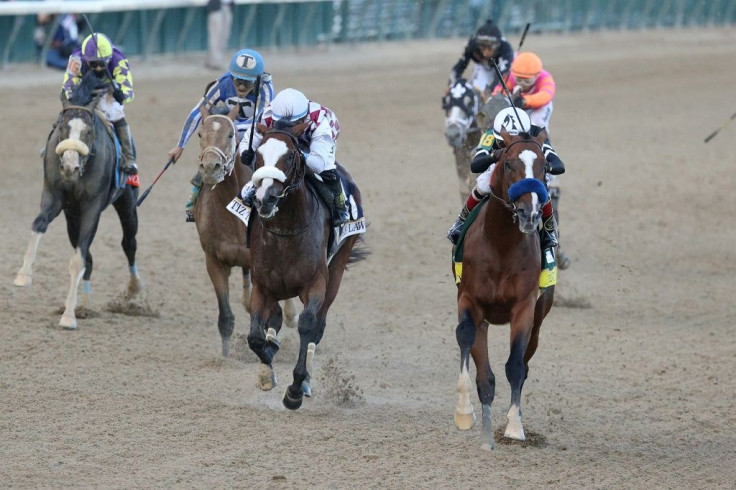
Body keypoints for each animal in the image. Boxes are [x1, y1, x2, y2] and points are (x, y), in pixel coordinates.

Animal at [197, 103, 300, 358]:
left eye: (231, 134)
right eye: (200, 134)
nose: (211, 167)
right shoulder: (214, 261)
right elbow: (226, 318)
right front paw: (225, 358)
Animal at [246, 121, 366, 410]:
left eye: (290, 156)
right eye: (257, 155)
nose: (265, 199)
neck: (285, 231)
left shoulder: (316, 284)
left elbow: (308, 325)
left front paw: (295, 389)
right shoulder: (262, 285)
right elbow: (255, 335)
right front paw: (267, 369)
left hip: (338, 267)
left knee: (319, 326)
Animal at [452, 128, 556, 450]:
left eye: (545, 167)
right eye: (509, 163)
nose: (529, 214)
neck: (501, 245)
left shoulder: (524, 307)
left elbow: (515, 367)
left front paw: (514, 427)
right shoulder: (470, 301)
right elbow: (466, 339)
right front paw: (464, 413)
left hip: (539, 319)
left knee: (523, 364)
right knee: (485, 374)